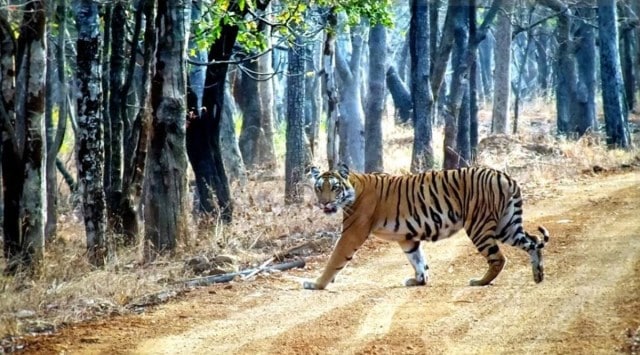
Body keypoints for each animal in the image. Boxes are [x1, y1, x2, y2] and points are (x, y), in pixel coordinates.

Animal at [302, 165, 548, 290]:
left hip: (479, 225)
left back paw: (480, 282)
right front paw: (418, 280)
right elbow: (417, 259)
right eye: (319, 188)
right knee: (533, 242)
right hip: (506, 225)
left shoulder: (353, 232)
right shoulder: (407, 238)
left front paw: (316, 284)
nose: (324, 203)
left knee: (498, 258)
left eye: (334, 188)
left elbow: (334, 260)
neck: (352, 188)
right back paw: (538, 275)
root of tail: (504, 175)